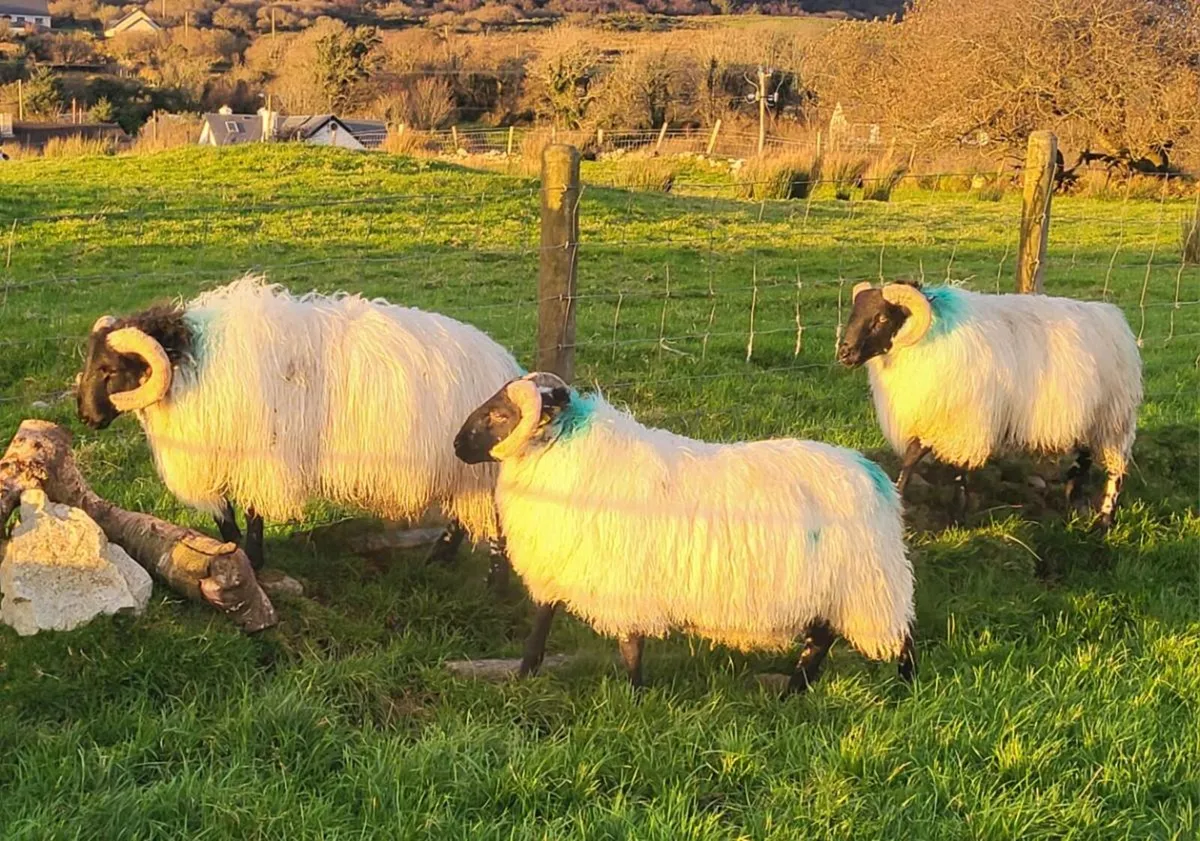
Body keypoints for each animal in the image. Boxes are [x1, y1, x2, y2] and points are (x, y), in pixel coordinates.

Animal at [76, 275, 523, 580]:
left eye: (109, 369)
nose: (85, 417)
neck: (191, 363)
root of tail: (505, 364)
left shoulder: (260, 457)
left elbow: (253, 513)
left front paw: (254, 562)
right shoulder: (220, 456)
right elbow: (225, 518)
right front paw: (233, 554)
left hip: (477, 466)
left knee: (494, 524)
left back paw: (484, 577)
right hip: (463, 470)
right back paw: (439, 560)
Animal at [453, 371, 916, 694]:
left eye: (500, 415)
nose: (456, 446)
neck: (570, 455)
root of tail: (874, 476)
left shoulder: (624, 584)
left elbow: (630, 646)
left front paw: (635, 696)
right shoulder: (560, 568)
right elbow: (542, 623)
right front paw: (525, 673)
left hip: (869, 586)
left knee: (897, 637)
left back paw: (903, 688)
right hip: (837, 588)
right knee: (820, 639)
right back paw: (793, 692)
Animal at [836, 281, 1142, 527]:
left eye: (881, 318)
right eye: (854, 314)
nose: (844, 353)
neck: (924, 341)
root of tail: (1115, 320)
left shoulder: (959, 421)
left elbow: (929, 462)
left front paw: (949, 512)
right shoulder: (938, 420)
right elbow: (930, 462)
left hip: (1115, 418)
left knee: (1115, 470)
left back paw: (1104, 520)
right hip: (1090, 418)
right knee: (1085, 457)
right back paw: (1073, 497)